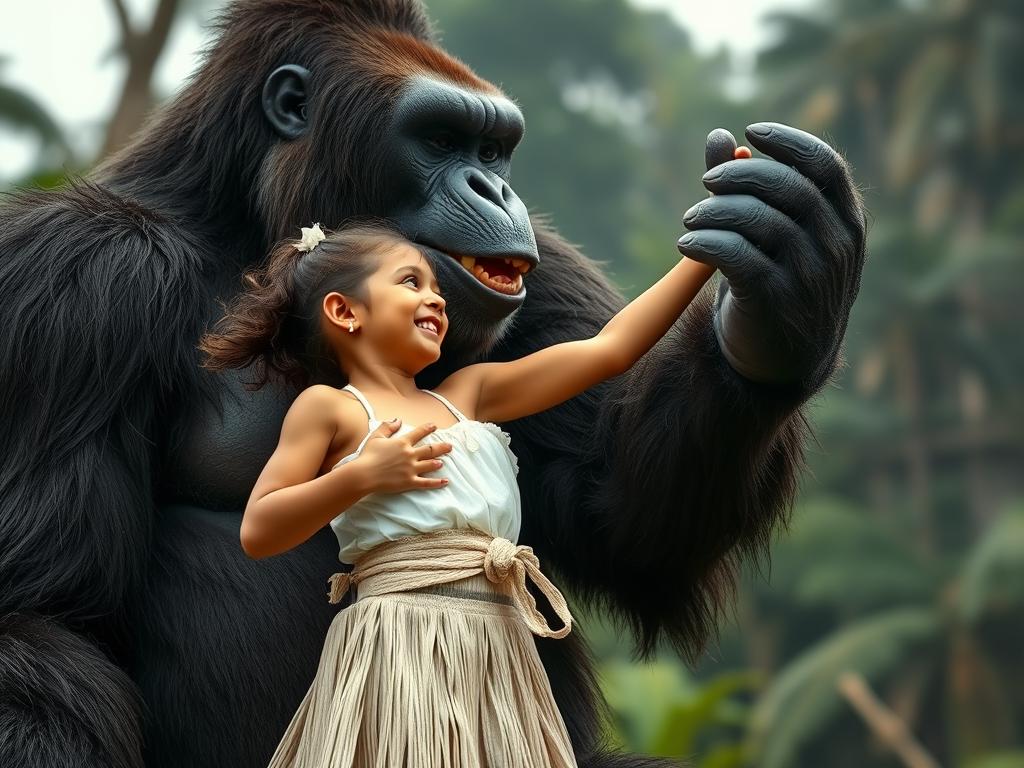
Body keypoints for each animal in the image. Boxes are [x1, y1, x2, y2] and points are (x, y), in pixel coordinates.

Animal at [0, 1, 864, 768]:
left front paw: (780, 298)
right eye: (440, 138)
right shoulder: (74, 281)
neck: (245, 225)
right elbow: (43, 617)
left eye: (494, 148)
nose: (496, 191)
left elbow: (624, 511)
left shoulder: (541, 273)